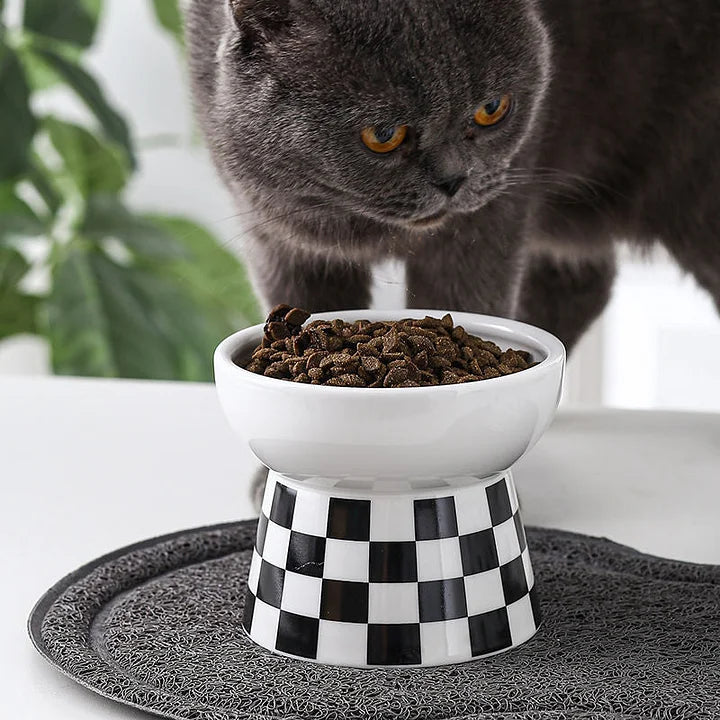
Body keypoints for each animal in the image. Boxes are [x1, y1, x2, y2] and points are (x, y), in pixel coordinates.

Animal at [187, 0, 720, 350]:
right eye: (383, 134)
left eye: (491, 109)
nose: (454, 180)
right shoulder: (277, 234)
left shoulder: (485, 220)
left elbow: (463, 302)